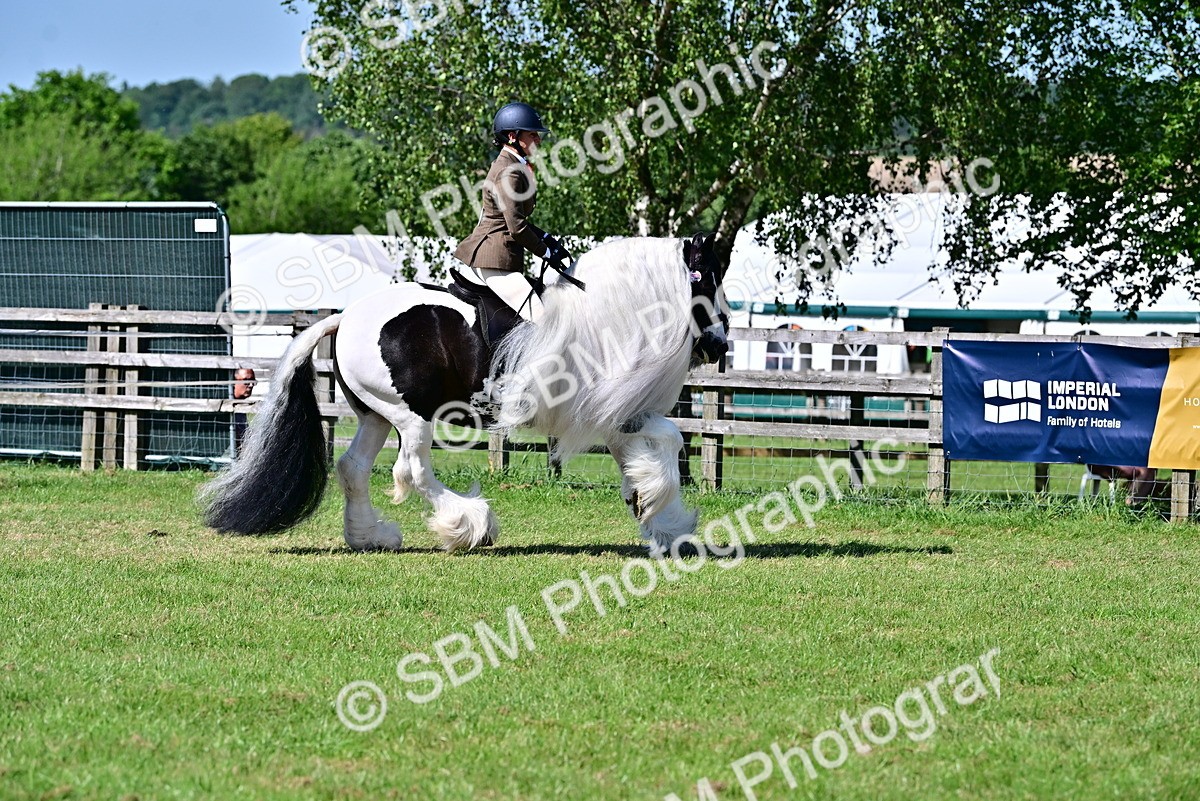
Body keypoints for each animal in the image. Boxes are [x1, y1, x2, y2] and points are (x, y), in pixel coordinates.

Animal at [200, 233, 729, 555]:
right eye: (704, 280)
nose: (720, 345)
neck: (611, 317)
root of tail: (345, 317)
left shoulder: (617, 416)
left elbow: (645, 455)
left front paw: (658, 519)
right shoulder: (613, 413)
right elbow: (671, 441)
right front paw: (659, 512)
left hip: (375, 416)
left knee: (354, 467)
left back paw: (371, 536)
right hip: (412, 416)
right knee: (413, 471)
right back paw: (471, 525)